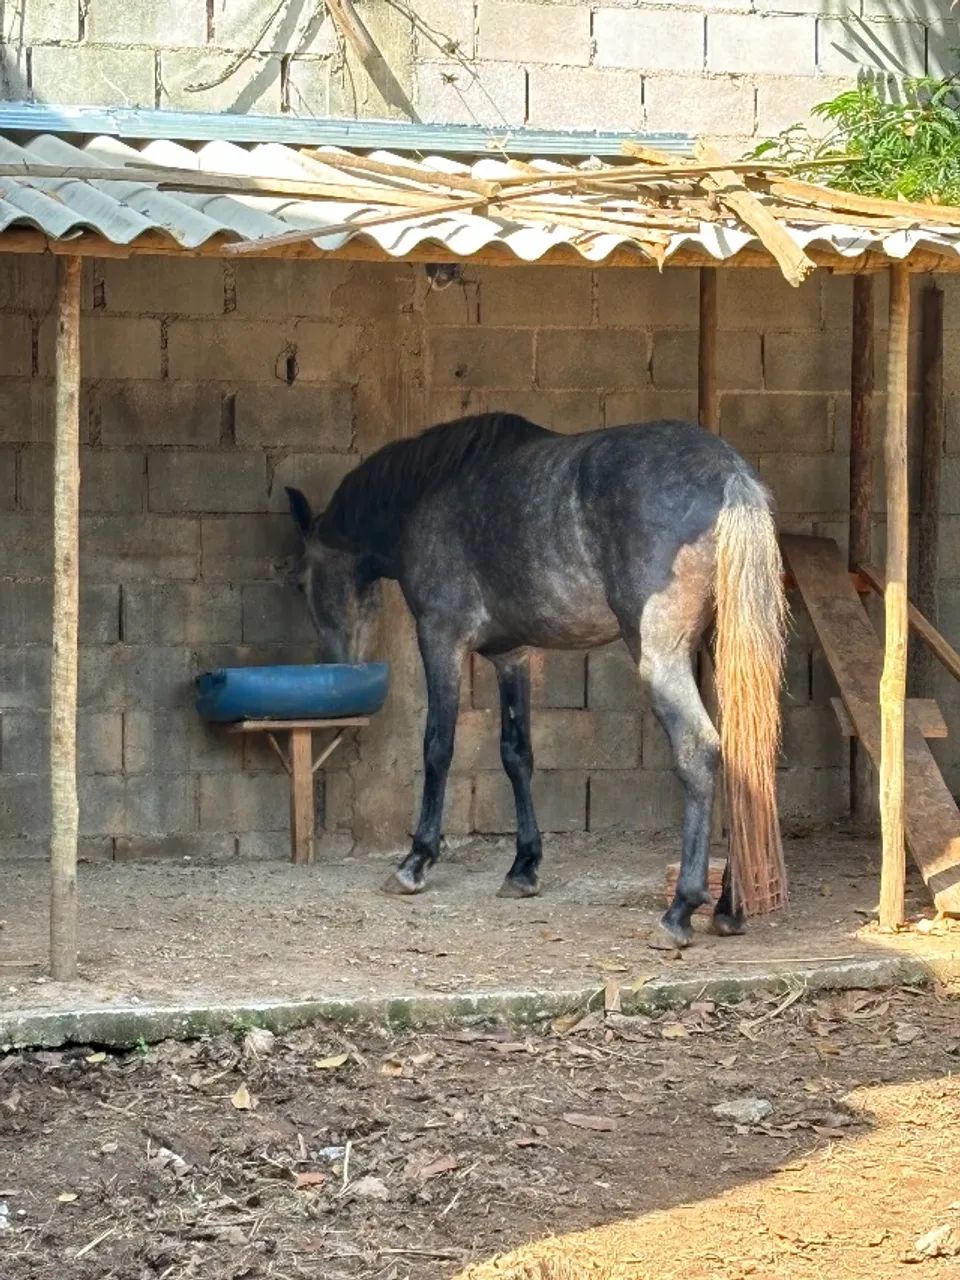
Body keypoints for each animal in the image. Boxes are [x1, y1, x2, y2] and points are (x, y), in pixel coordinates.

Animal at [285, 413, 787, 947]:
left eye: (300, 581)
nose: (336, 664)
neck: (430, 491)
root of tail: (729, 476)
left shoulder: (441, 638)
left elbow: (438, 747)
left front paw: (415, 861)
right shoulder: (513, 658)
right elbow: (517, 754)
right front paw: (523, 868)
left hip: (662, 657)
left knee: (699, 753)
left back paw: (679, 911)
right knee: (743, 757)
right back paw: (731, 906)